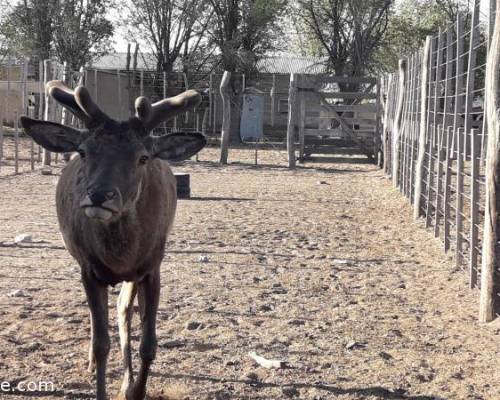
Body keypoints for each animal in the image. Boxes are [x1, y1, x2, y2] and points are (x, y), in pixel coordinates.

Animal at [20, 81, 206, 400]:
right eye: (83, 152)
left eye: (143, 156)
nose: (99, 195)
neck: (120, 256)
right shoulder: (88, 269)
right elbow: (100, 343)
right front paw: (101, 381)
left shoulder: (152, 267)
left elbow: (148, 344)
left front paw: (135, 390)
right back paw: (95, 366)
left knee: (123, 311)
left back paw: (126, 381)